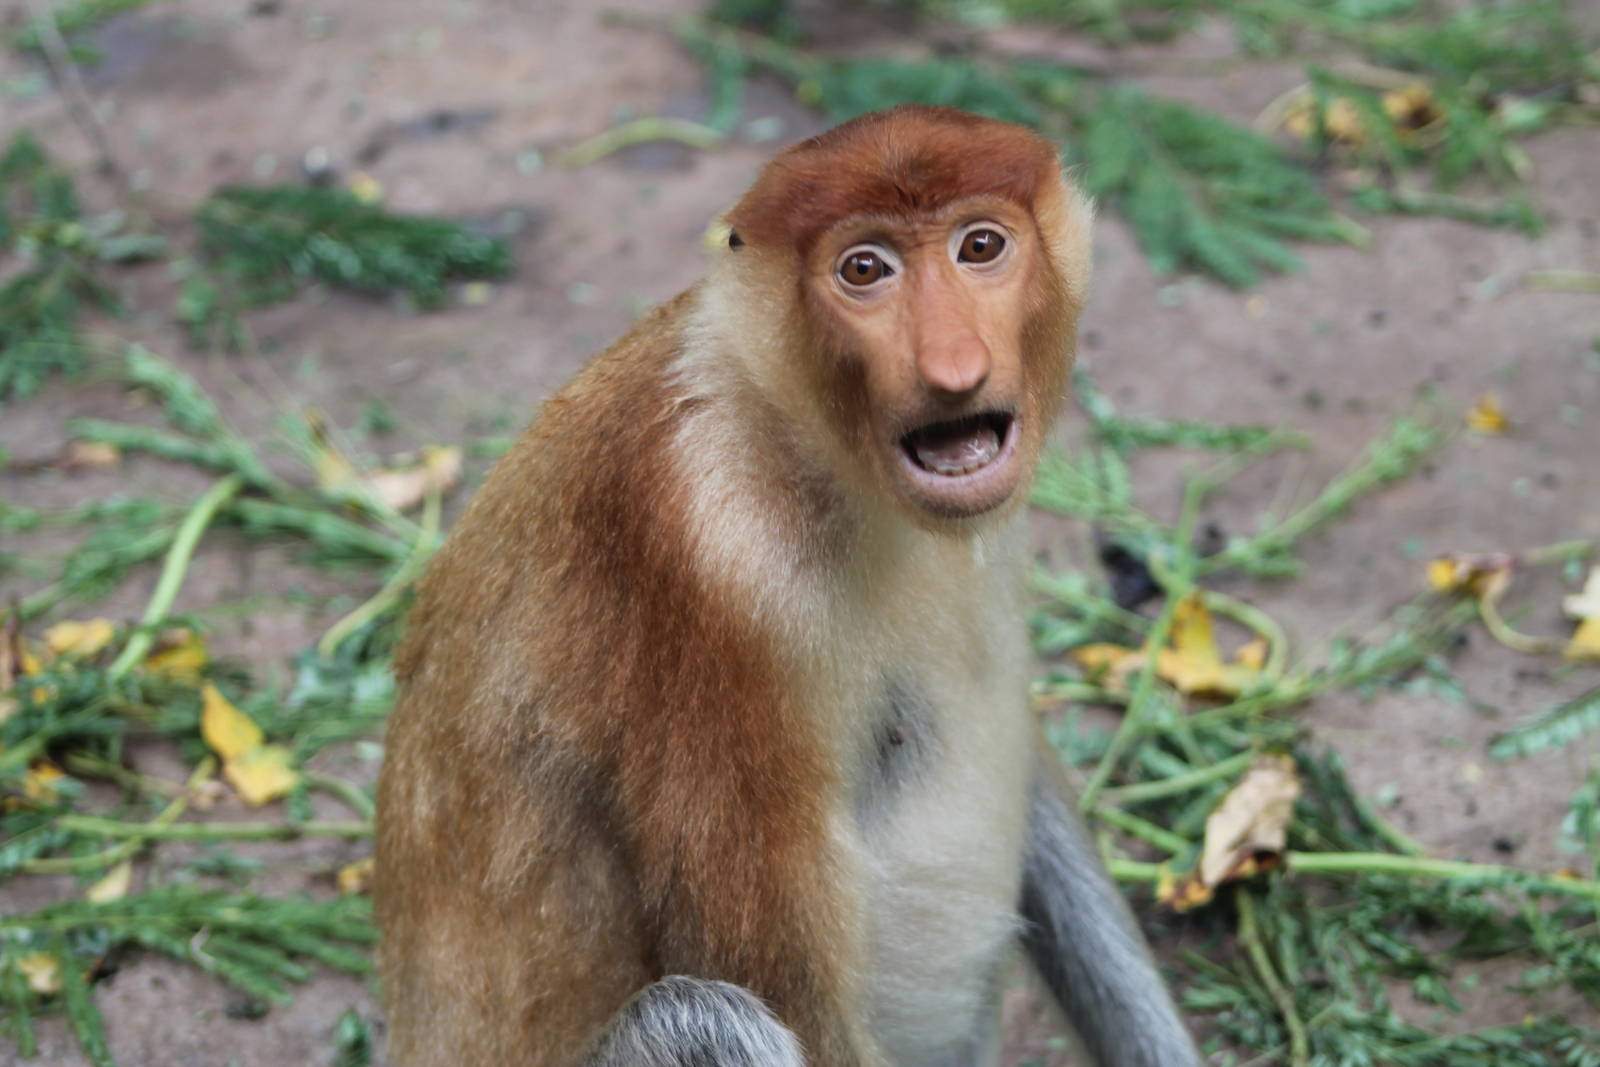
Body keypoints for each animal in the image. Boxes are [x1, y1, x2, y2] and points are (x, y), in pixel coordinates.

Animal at [374, 105, 1203, 1067]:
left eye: (981, 246)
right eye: (864, 269)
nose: (953, 368)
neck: (797, 434)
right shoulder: (709, 568)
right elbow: (780, 974)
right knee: (704, 1017)